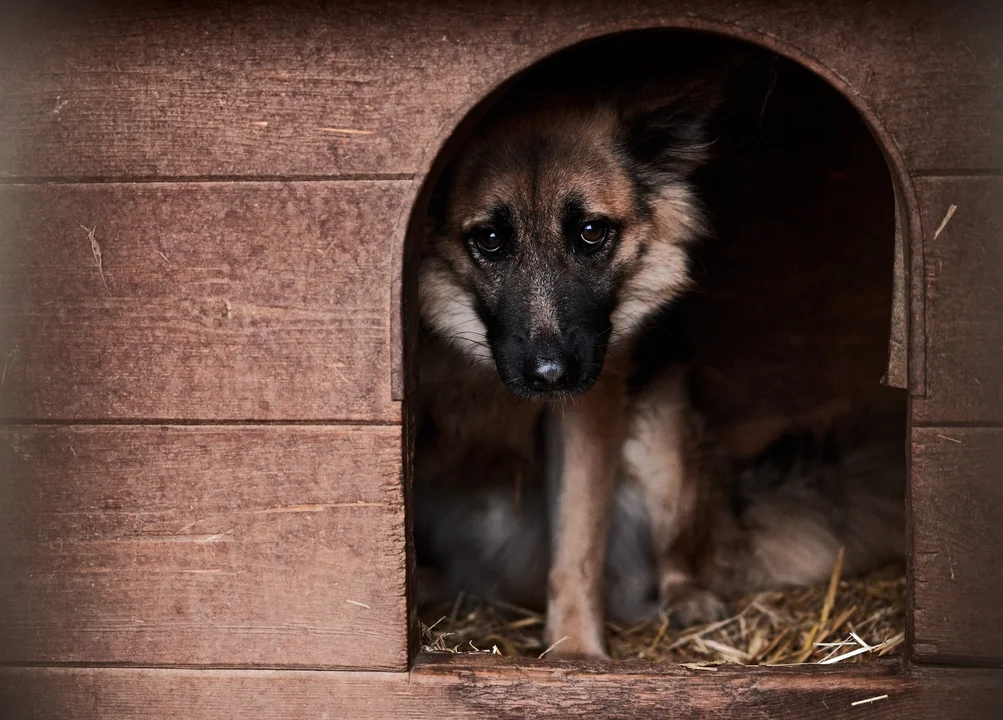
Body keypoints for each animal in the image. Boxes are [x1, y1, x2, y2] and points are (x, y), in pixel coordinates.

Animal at [411, 47, 906, 661]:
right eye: (491, 240)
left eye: (592, 232)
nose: (551, 377)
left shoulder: (589, 408)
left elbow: (576, 547)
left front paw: (575, 655)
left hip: (663, 441)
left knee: (677, 559)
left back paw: (687, 598)